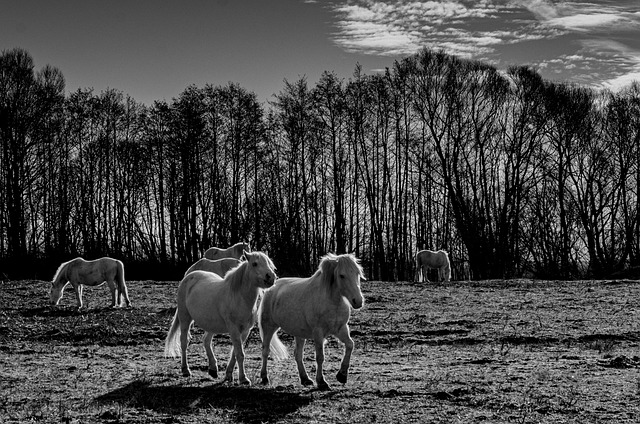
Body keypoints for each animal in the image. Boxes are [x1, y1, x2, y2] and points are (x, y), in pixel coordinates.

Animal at [164, 250, 276, 386]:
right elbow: (239, 354)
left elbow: (235, 353)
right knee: (184, 342)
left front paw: (228, 375)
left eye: (269, 263)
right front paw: (243, 379)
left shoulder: (245, 331)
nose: (271, 276)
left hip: (211, 325)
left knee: (206, 341)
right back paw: (186, 370)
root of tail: (188, 276)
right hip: (185, 318)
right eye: (255, 263)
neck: (239, 297)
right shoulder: (233, 329)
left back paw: (213, 369)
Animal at [256, 253, 364, 390]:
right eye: (342, 275)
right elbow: (320, 357)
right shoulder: (318, 333)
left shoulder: (341, 329)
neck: (333, 302)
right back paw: (264, 377)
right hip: (268, 327)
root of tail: (272, 288)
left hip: (299, 333)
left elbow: (350, 345)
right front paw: (322, 382)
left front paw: (342, 375)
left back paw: (305, 379)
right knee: (265, 351)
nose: (358, 301)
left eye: (357, 273)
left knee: (298, 355)